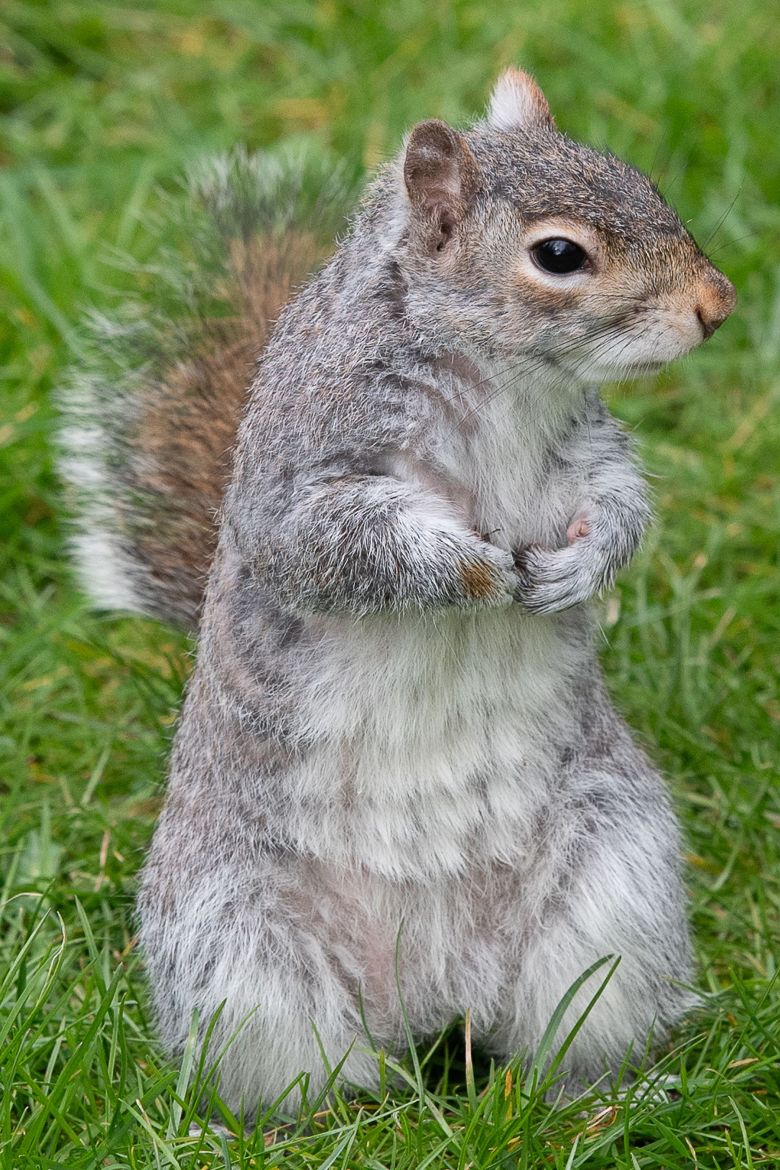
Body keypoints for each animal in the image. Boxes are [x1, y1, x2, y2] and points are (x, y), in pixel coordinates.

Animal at [62, 68, 736, 1115]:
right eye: (559, 255)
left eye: (645, 182)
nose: (719, 304)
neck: (502, 381)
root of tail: (433, 996)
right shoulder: (306, 471)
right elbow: (330, 545)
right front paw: (473, 568)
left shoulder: (589, 446)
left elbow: (619, 501)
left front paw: (576, 569)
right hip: (237, 944)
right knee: (308, 1075)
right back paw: (283, 1126)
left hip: (611, 886)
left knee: (564, 1032)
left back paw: (601, 1098)